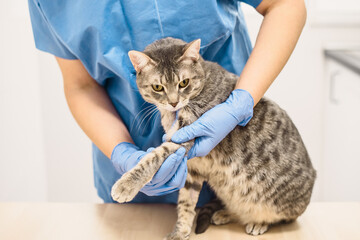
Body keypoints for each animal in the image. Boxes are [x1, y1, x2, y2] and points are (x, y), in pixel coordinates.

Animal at [111, 38, 316, 240]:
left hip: (282, 205)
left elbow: (154, 157)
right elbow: (186, 202)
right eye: (158, 87)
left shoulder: (186, 136)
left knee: (282, 218)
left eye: (184, 83)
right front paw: (181, 231)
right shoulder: (192, 168)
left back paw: (259, 222)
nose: (173, 102)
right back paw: (224, 213)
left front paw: (126, 185)